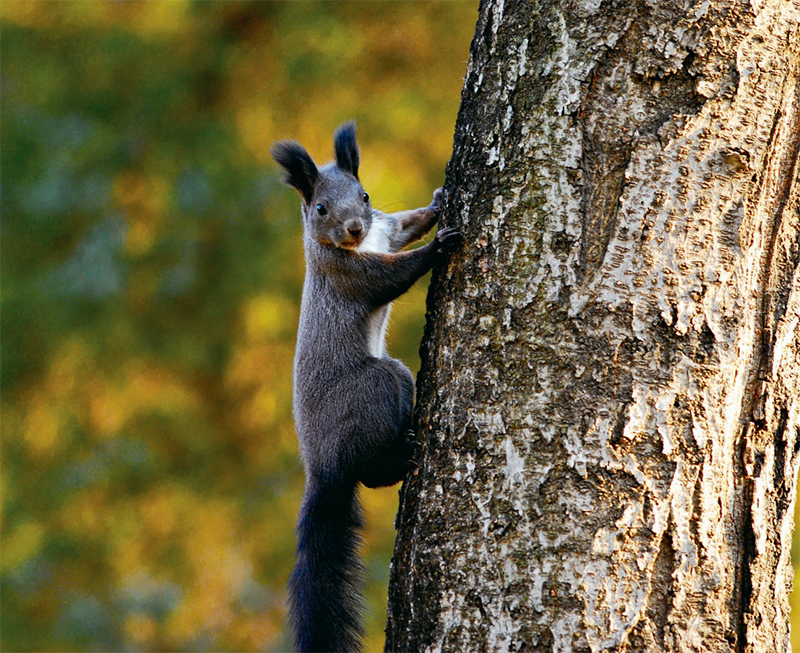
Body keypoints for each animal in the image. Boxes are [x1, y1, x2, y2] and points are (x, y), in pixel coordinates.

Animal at [272, 122, 460, 652]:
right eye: (320, 208)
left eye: (365, 195)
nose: (355, 228)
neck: (356, 246)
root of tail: (322, 467)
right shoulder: (350, 275)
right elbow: (394, 275)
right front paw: (440, 246)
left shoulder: (385, 229)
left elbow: (405, 224)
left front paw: (438, 204)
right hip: (380, 383)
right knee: (371, 471)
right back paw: (405, 450)